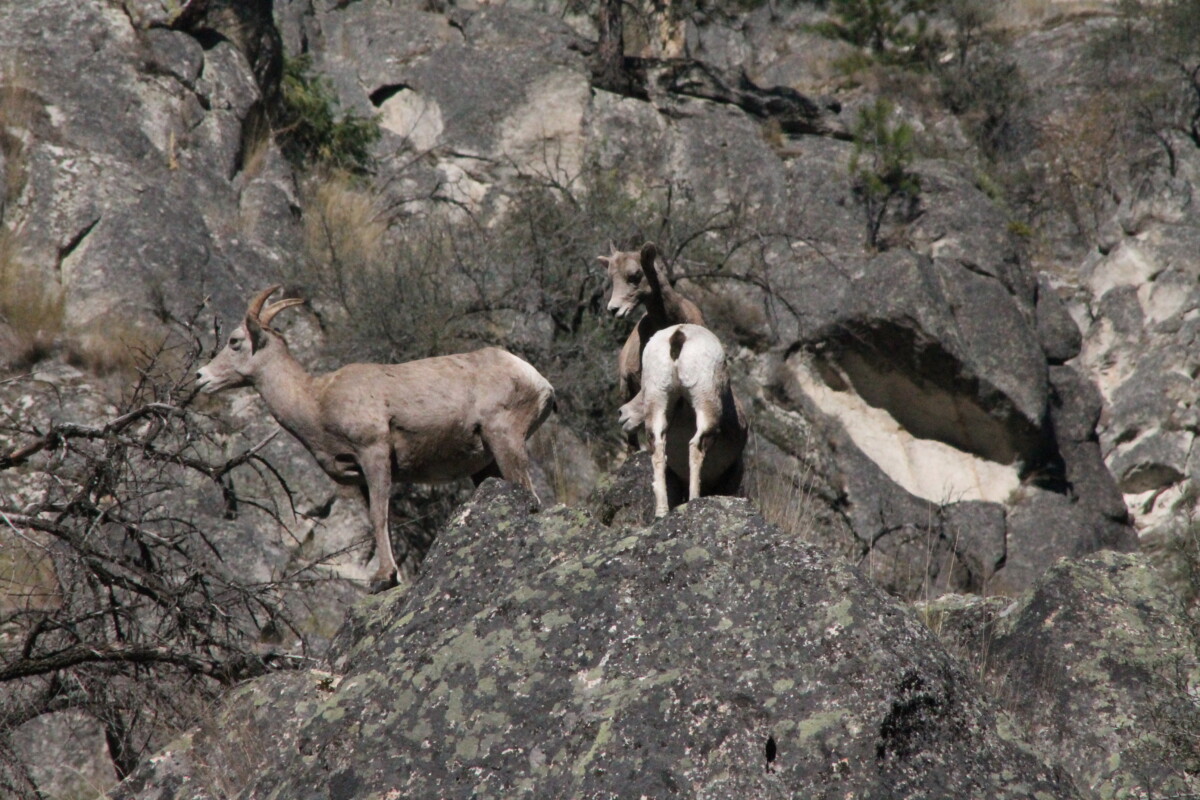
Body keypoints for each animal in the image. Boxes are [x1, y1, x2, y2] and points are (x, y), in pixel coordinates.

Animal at [194, 284, 554, 592]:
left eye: (235, 341)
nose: (200, 377)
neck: (315, 400)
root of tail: (538, 380)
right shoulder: (360, 478)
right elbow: (380, 522)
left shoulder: (375, 454)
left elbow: (379, 517)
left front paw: (382, 579)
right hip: (483, 466)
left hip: (505, 440)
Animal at [619, 326, 748, 520]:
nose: (621, 413)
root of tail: (678, 333)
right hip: (704, 404)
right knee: (696, 446)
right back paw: (694, 499)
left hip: (658, 401)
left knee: (658, 450)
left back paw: (661, 512)